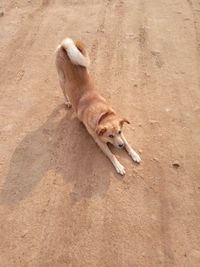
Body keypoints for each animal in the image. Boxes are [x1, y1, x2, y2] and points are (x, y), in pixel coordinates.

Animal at [55, 37, 141, 176]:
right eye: (110, 136)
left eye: (119, 132)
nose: (120, 146)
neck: (102, 114)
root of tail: (64, 46)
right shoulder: (100, 142)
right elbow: (111, 155)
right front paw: (119, 166)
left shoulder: (121, 134)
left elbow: (128, 143)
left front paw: (134, 154)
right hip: (62, 80)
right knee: (64, 92)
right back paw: (67, 102)